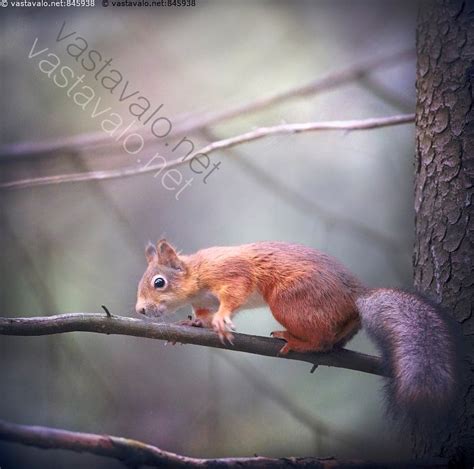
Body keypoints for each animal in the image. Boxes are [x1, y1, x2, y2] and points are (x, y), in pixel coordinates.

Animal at [135, 241, 462, 428]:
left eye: (159, 282)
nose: (140, 310)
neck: (197, 274)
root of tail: (356, 297)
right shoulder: (205, 300)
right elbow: (203, 315)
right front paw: (191, 326)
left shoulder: (230, 273)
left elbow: (234, 293)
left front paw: (222, 320)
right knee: (332, 340)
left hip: (289, 301)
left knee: (320, 339)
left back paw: (294, 340)